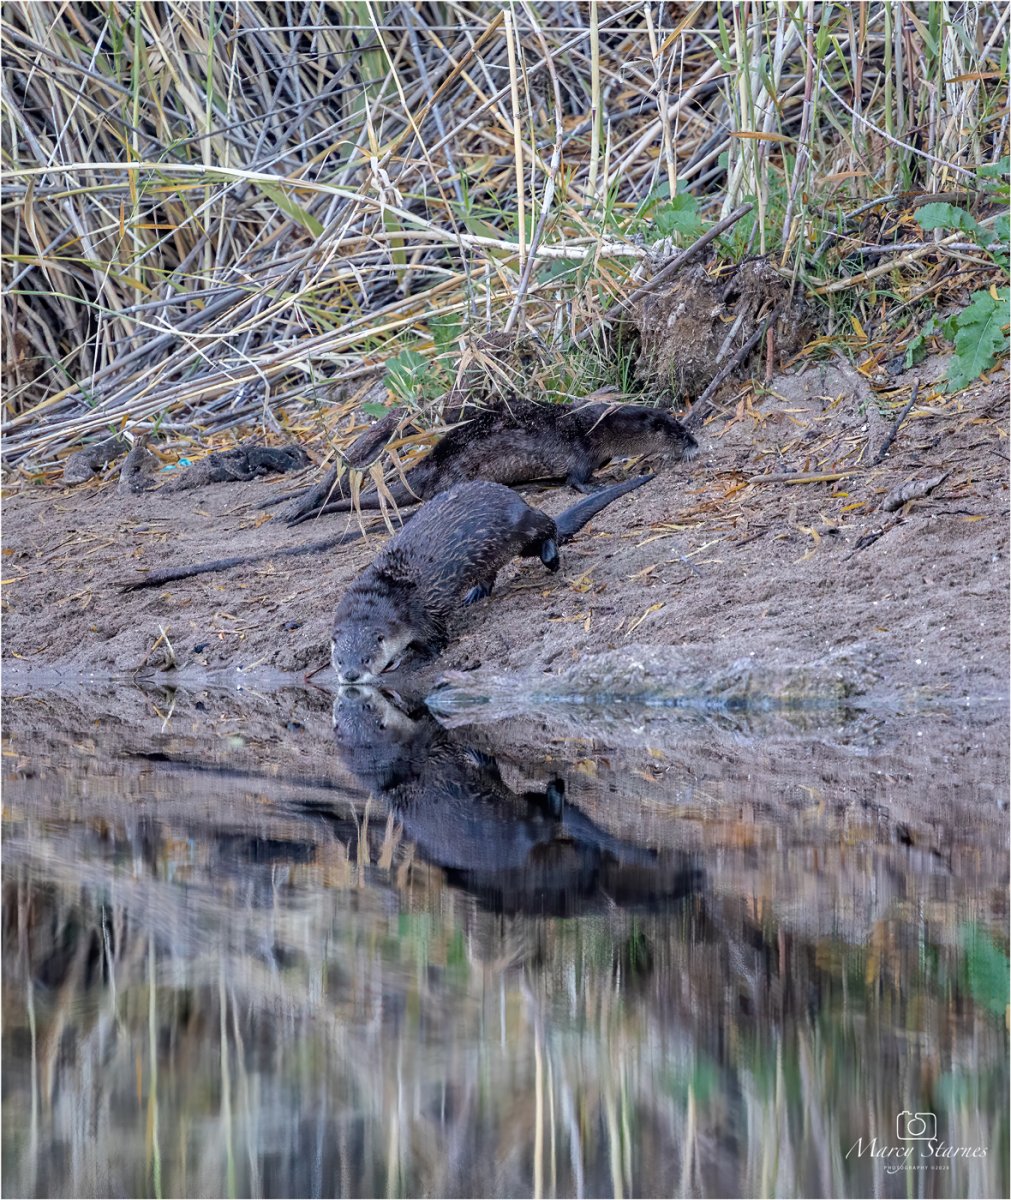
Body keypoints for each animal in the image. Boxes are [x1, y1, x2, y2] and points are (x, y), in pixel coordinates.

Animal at [286, 402, 696, 526]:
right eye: (673, 430)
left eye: (682, 425)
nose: (694, 442)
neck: (596, 429)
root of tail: (431, 464)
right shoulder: (579, 453)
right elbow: (577, 480)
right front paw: (597, 484)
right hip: (460, 473)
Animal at [330, 474, 650, 683]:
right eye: (339, 660)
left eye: (366, 658)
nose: (350, 675)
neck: (388, 593)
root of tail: (515, 496)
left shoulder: (427, 610)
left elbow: (436, 640)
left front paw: (412, 661)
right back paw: (475, 593)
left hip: (519, 526)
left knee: (547, 527)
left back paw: (551, 557)